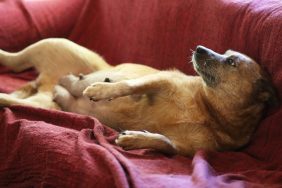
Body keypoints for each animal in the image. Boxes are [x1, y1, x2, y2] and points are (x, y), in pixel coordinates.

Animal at [0, 38, 278, 156]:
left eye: (231, 62)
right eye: (226, 52)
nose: (200, 48)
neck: (208, 109)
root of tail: (42, 81)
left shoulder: (185, 147)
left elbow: (163, 142)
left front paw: (134, 138)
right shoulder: (161, 80)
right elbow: (129, 86)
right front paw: (99, 90)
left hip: (41, 102)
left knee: (21, 97)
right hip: (44, 46)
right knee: (11, 59)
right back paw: (75, 82)